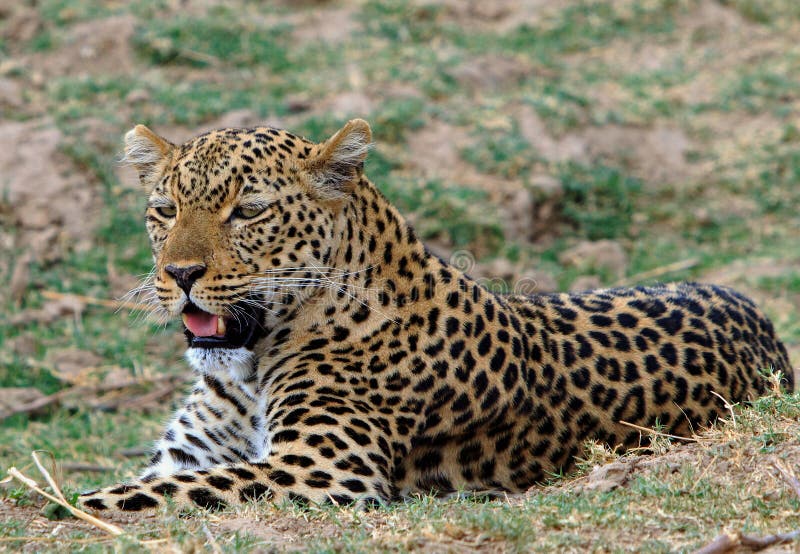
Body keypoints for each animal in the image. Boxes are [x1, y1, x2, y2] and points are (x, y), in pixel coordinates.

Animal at [78, 118, 792, 512]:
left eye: (248, 211)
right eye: (165, 211)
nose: (180, 274)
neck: (247, 372)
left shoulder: (321, 470)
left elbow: (120, 497)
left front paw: (66, 505)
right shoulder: (187, 456)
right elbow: (147, 482)